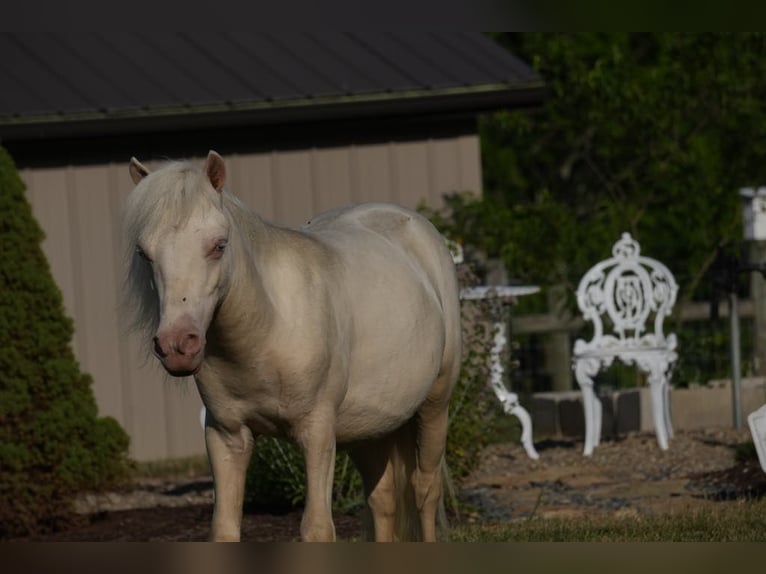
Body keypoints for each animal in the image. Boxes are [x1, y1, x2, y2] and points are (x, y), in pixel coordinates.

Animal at [123, 151, 464, 544]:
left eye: (219, 245)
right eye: (144, 253)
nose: (177, 345)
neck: (268, 330)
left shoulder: (317, 433)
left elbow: (316, 528)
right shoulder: (226, 436)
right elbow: (224, 528)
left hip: (435, 405)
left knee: (425, 490)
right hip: (371, 426)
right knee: (384, 500)